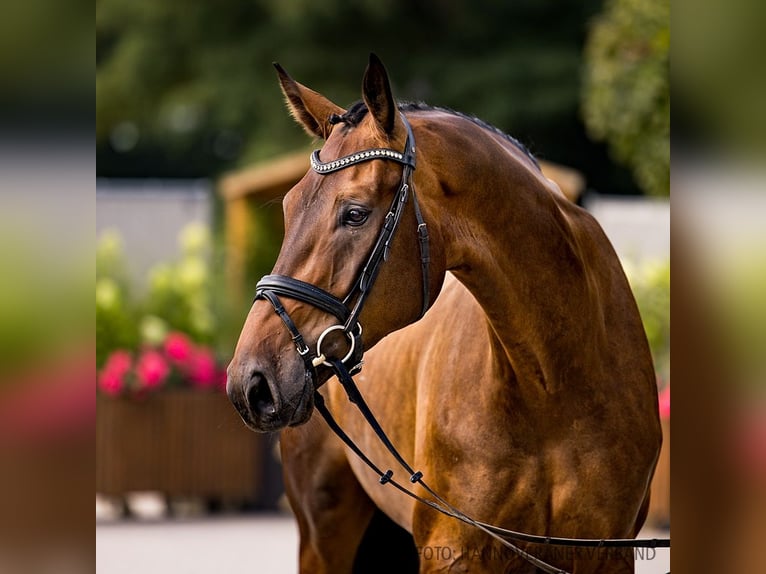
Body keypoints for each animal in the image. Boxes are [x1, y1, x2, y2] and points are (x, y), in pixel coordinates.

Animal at [225, 55, 664, 574]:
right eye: (289, 208)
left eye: (354, 213)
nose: (250, 382)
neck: (554, 386)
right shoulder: (454, 553)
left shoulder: (606, 554)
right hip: (322, 535)